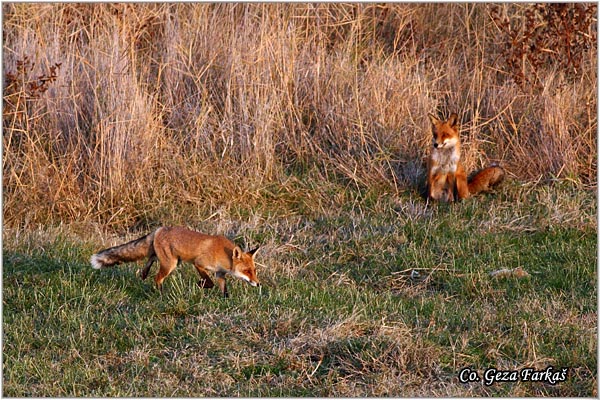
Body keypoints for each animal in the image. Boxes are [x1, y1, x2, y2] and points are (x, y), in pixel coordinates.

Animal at [90, 225, 258, 296]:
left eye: (254, 271)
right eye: (246, 271)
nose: (258, 284)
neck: (222, 254)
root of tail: (159, 229)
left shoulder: (220, 274)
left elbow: (224, 290)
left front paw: (225, 300)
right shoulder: (199, 263)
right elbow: (208, 282)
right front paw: (200, 284)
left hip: (172, 260)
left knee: (151, 257)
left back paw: (144, 273)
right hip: (170, 264)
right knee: (157, 278)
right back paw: (162, 295)